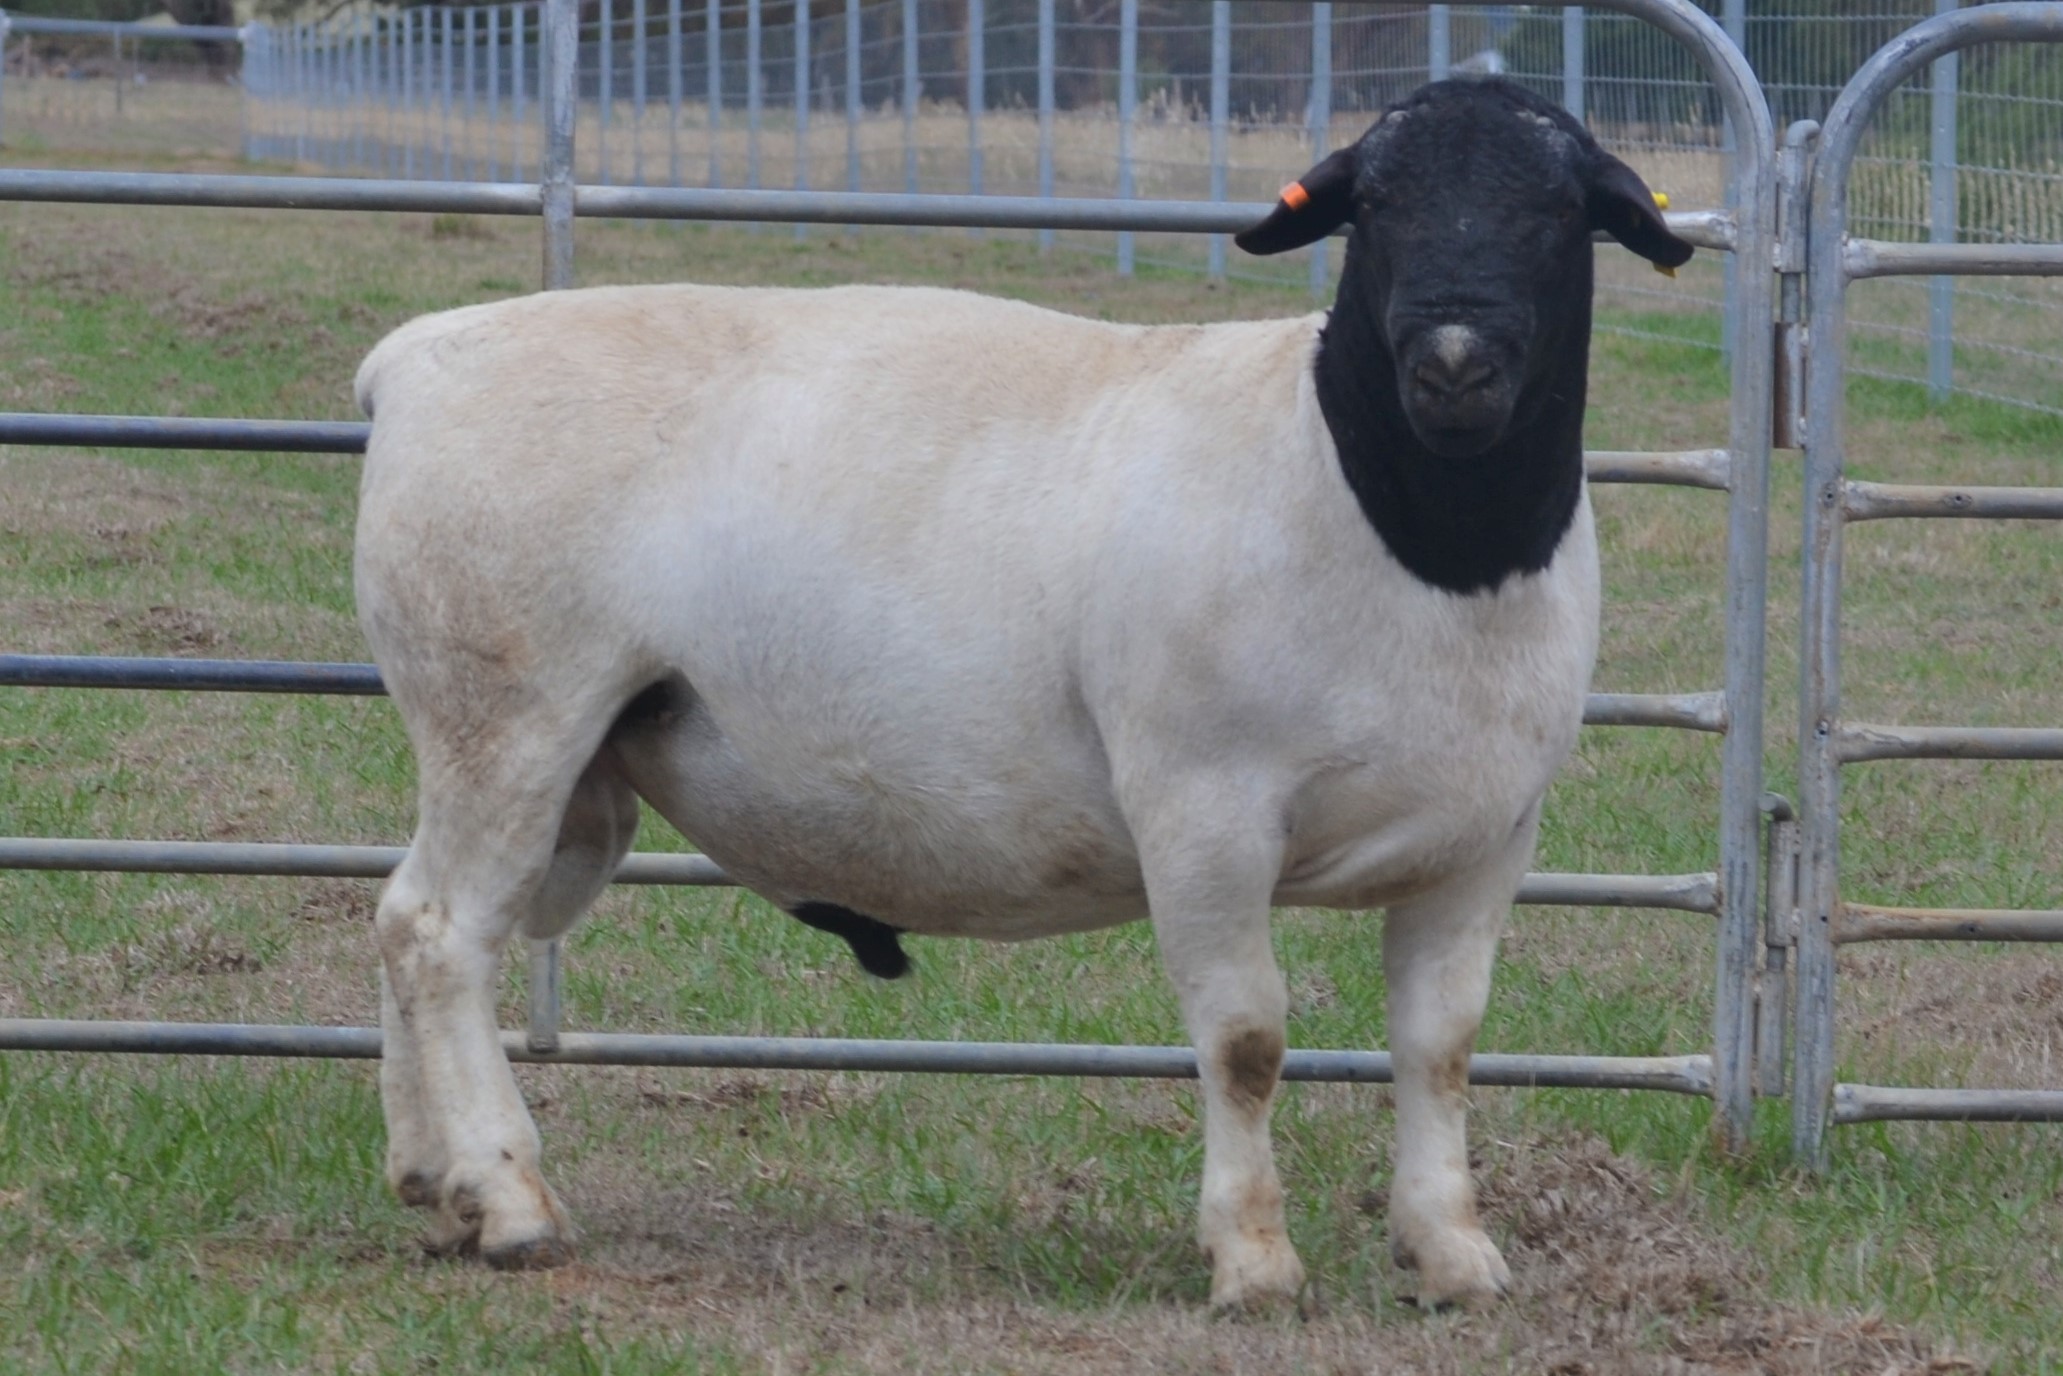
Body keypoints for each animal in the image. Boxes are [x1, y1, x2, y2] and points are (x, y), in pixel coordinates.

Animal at [352, 75, 1692, 1312]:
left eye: (1557, 214)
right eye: (1372, 208)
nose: (1453, 366)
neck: (1406, 526)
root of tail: (413, 357)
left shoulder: (1485, 833)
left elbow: (1442, 1044)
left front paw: (1452, 1252)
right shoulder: (1201, 806)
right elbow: (1245, 1039)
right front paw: (1253, 1260)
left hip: (554, 756)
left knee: (407, 911)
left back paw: (430, 1175)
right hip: (506, 706)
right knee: (443, 931)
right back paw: (512, 1200)